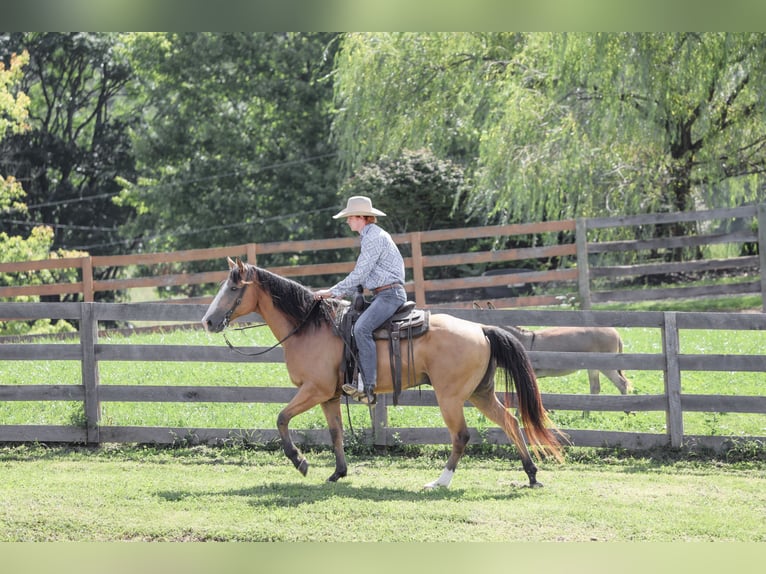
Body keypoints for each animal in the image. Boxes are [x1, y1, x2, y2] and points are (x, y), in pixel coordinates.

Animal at [201, 258, 564, 489]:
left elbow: (281, 418)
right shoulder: (330, 396)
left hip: (450, 397)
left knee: (461, 436)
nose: (207, 321)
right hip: (480, 393)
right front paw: (338, 473)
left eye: (232, 289)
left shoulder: (313, 390)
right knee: (511, 422)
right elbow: (336, 433)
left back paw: (440, 481)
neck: (308, 327)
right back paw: (531, 475)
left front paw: (300, 461)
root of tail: (481, 329)